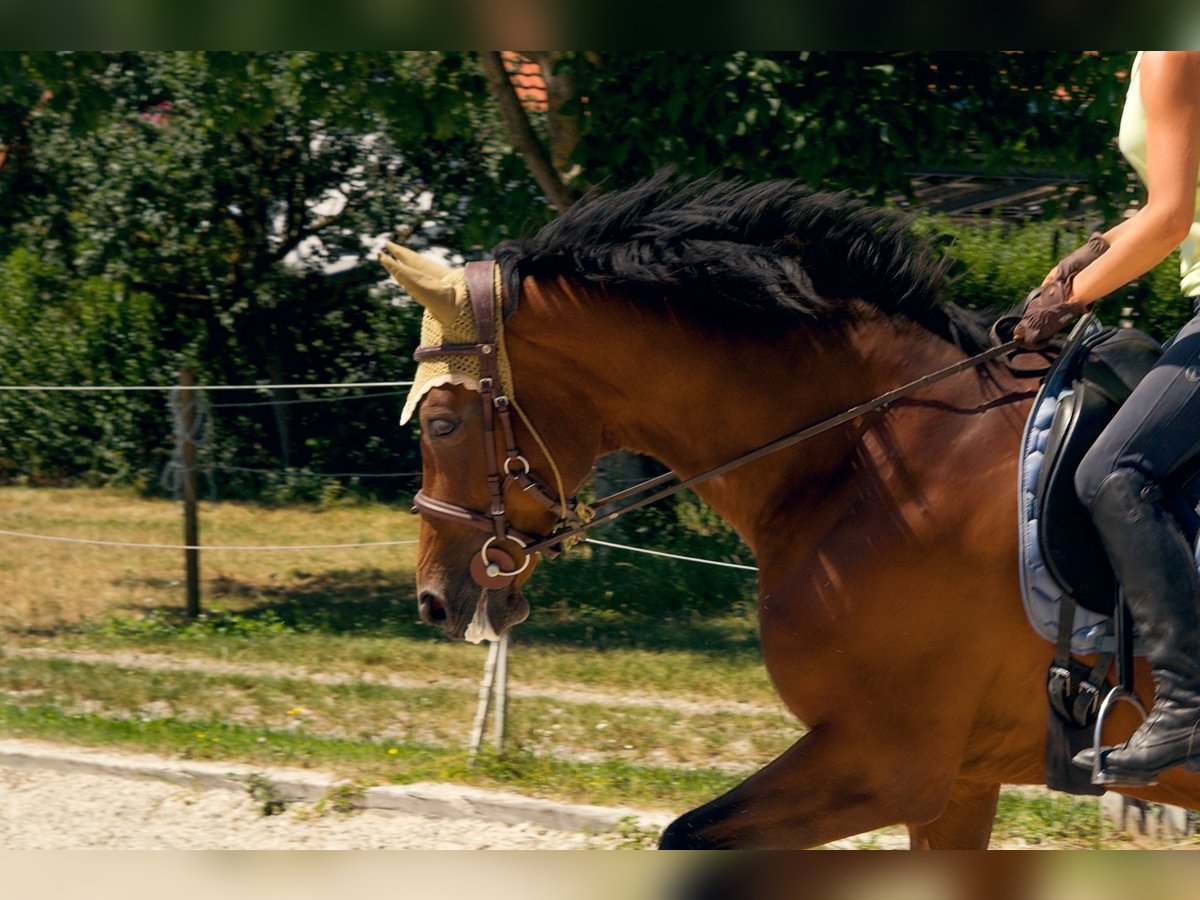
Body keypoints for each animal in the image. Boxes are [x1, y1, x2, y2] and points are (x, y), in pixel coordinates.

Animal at [381, 170, 1200, 854]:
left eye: (441, 425)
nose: (432, 600)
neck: (874, 455)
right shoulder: (958, 781)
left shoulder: (883, 764)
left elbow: (684, 836)